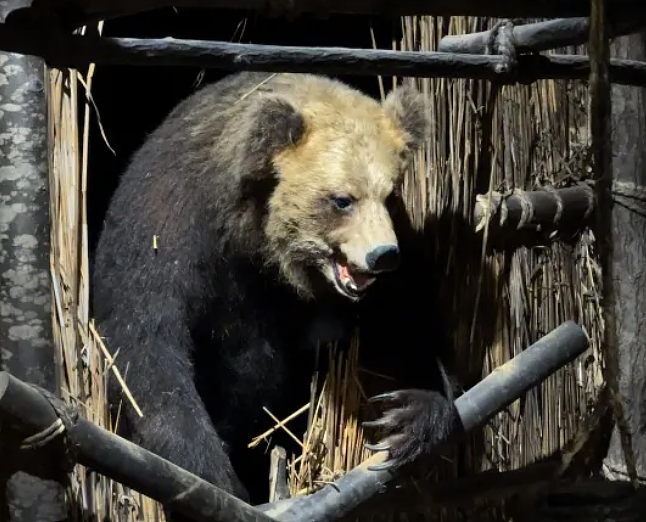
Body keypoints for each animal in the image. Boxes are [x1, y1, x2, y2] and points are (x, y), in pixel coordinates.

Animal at [91, 71, 459, 515]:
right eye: (341, 200)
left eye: (389, 194)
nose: (382, 256)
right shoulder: (172, 227)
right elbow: (144, 348)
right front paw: (215, 479)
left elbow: (406, 322)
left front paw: (408, 417)